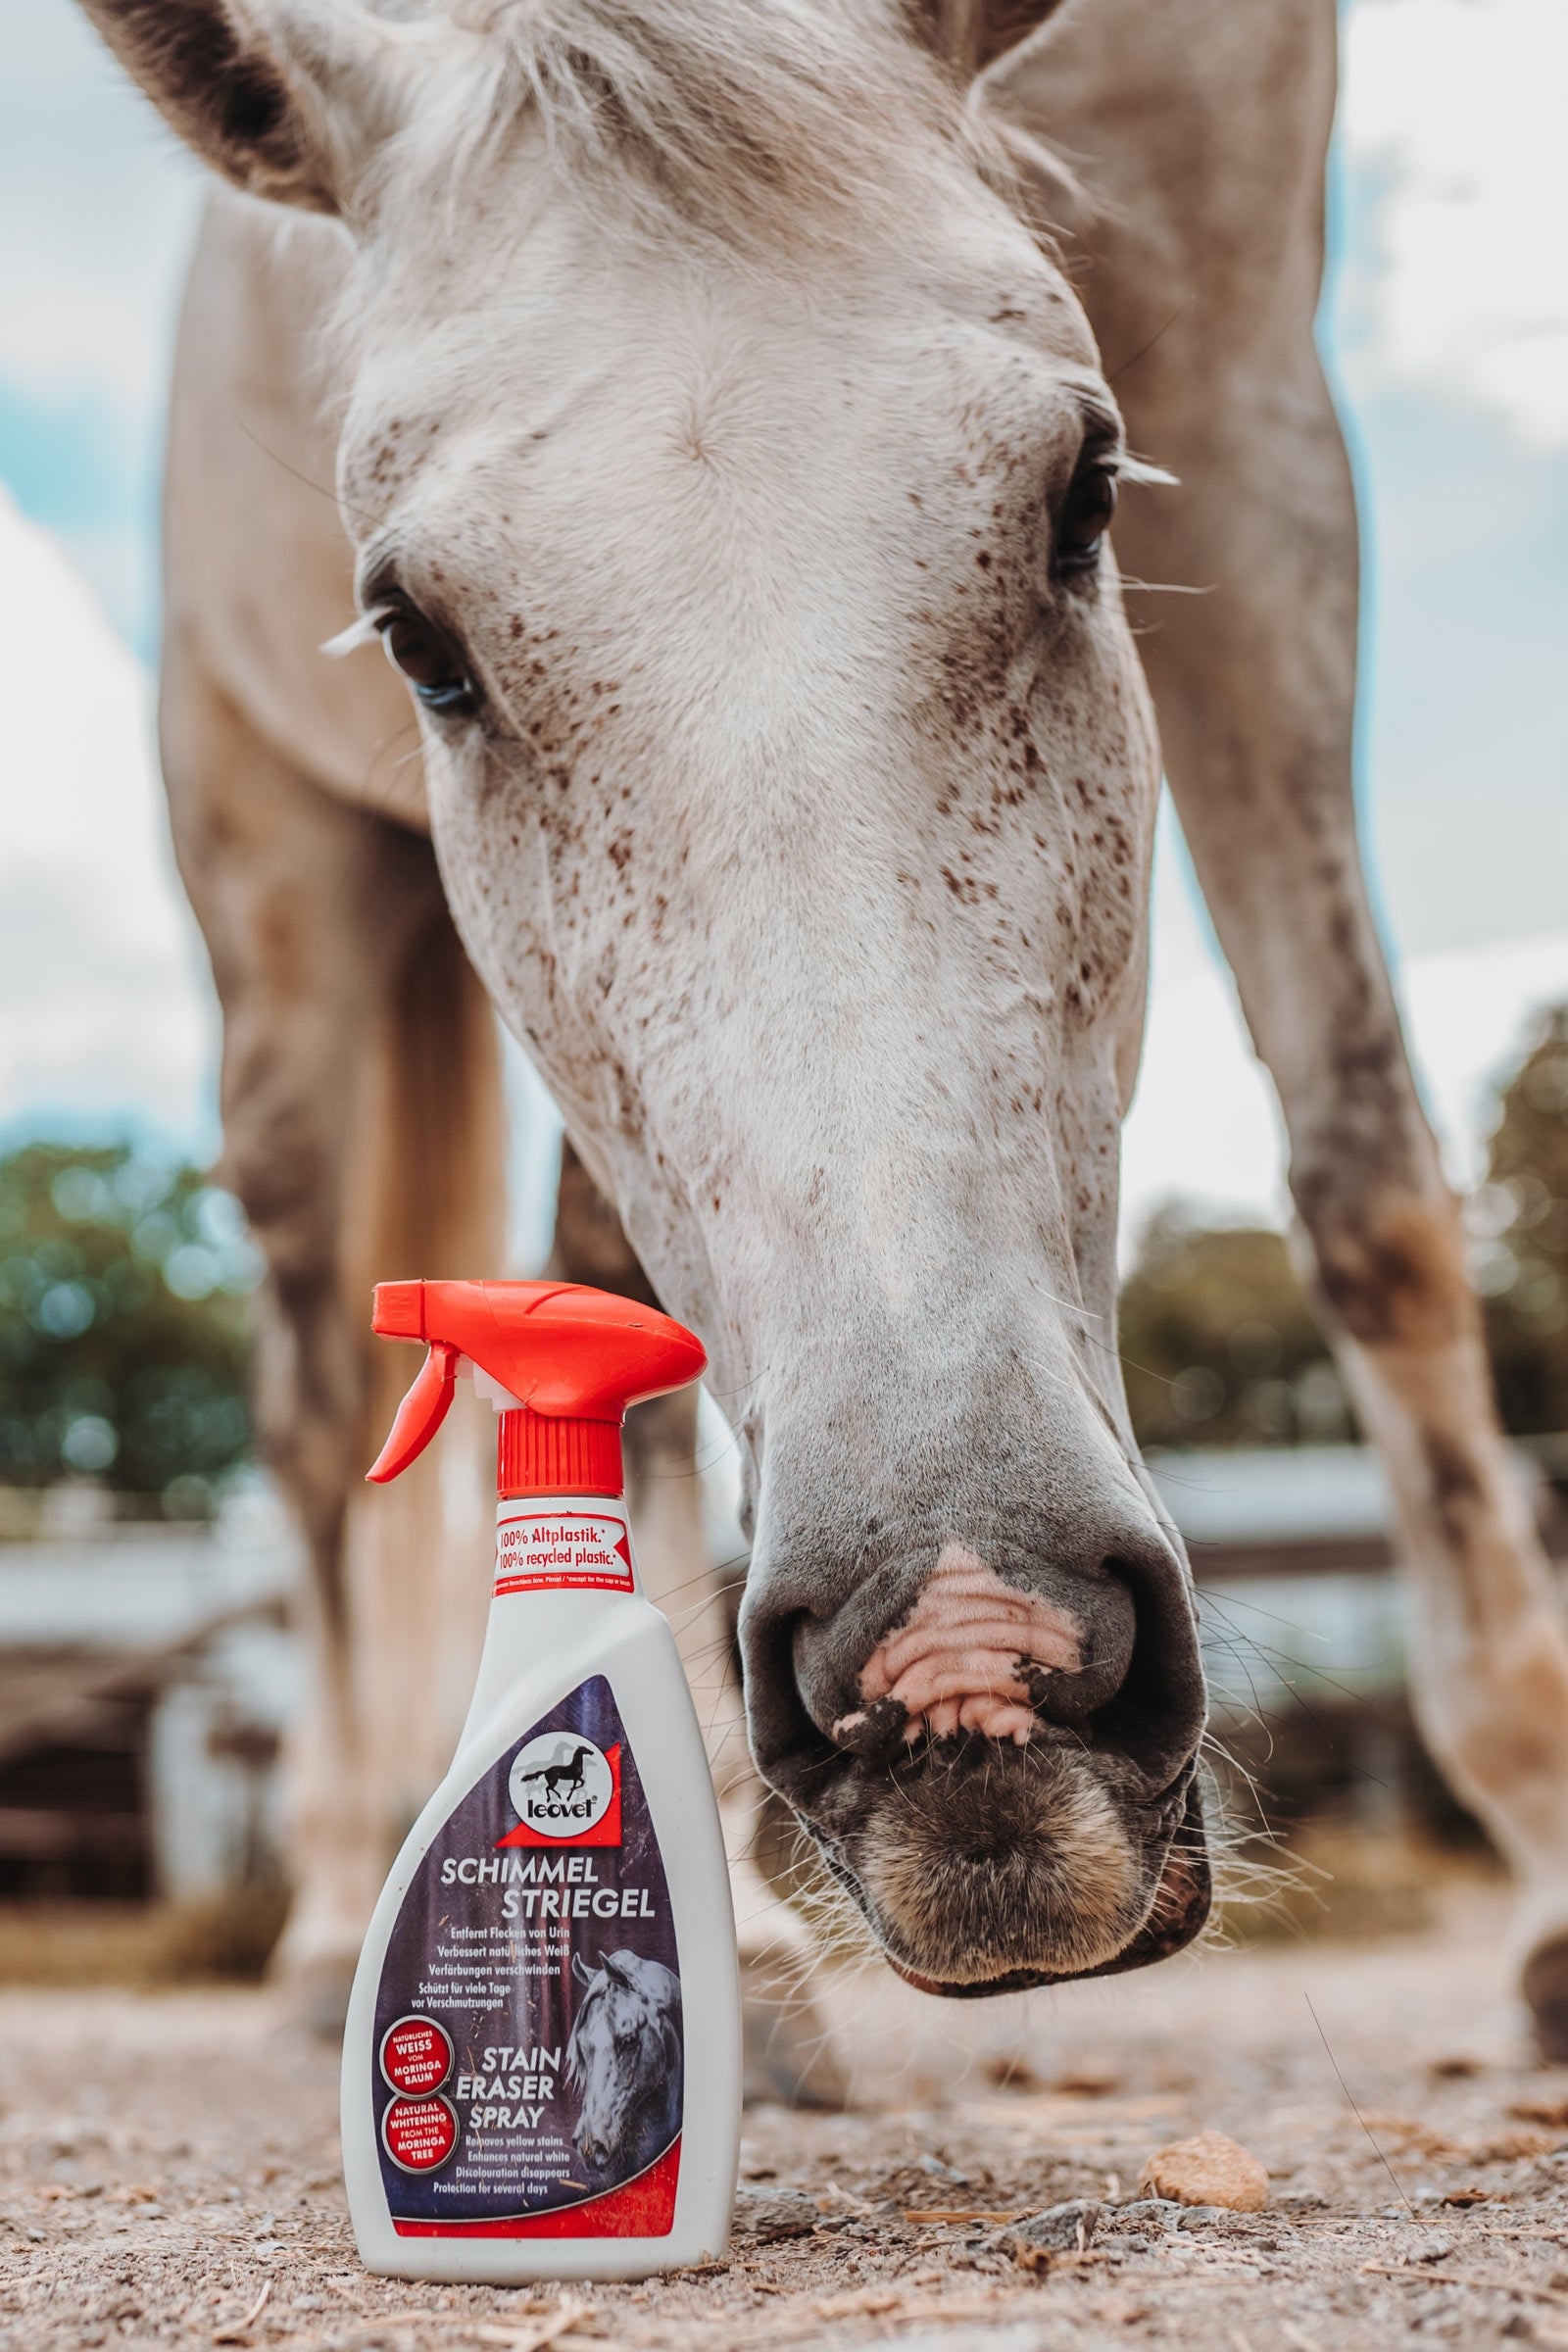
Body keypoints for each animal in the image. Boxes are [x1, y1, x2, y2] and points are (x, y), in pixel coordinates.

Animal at [72, 0, 1568, 2066]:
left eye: (1087, 495)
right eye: (420, 641)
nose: (967, 1655)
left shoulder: (1258, 415)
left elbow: (1373, 1185)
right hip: (272, 891)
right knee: (308, 1418)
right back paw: (331, 1919)